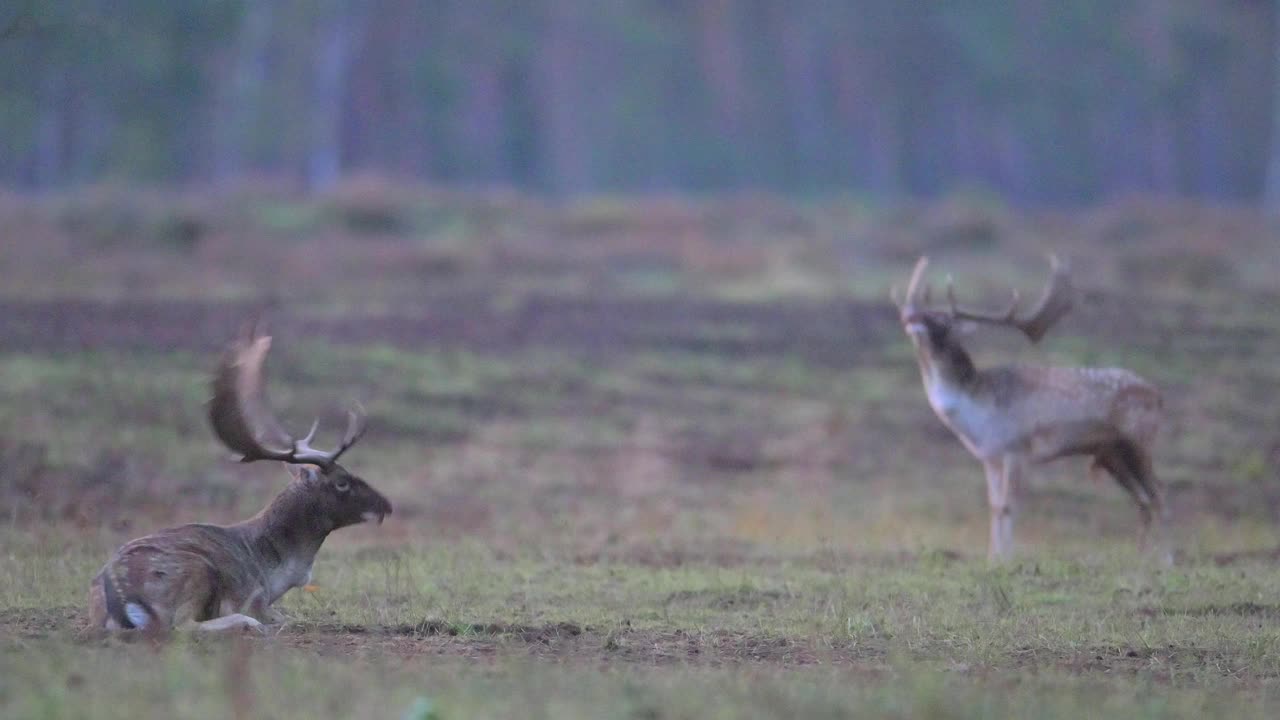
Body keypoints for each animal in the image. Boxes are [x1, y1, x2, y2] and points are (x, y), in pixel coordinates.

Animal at [87, 325, 391, 627]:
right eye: (342, 482)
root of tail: (119, 595)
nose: (386, 505)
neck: (277, 571)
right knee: (183, 625)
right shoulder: (253, 596)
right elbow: (285, 618)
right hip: (197, 570)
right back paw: (246, 624)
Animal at [896, 254, 1167, 558]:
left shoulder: (1017, 450)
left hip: (1141, 441)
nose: (909, 317)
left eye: (942, 320)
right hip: (1112, 454)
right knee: (1143, 499)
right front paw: (992, 558)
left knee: (1158, 494)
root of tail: (1158, 395)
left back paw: (1168, 559)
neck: (976, 410)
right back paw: (1141, 557)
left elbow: (1008, 506)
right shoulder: (990, 458)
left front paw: (1006, 558)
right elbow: (994, 507)